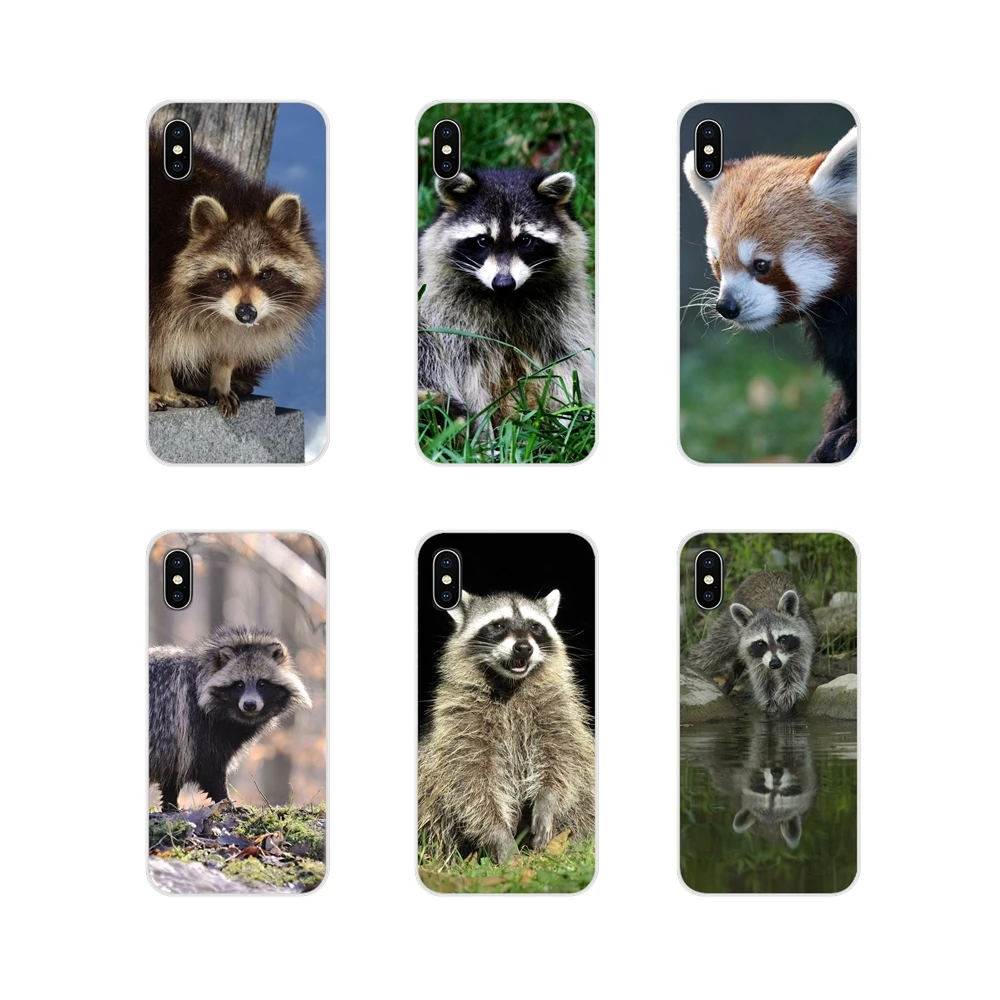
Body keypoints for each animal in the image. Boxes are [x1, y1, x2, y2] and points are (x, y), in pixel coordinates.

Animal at [149, 135, 323, 417]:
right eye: (223, 274)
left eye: (265, 274)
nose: (246, 313)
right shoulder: (157, 282)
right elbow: (157, 346)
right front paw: (165, 384)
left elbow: (232, 341)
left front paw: (222, 374)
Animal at [149, 624, 312, 810]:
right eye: (239, 685)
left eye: (261, 683)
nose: (250, 705)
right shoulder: (193, 727)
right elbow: (210, 769)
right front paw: (225, 800)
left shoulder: (178, 745)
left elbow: (173, 776)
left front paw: (170, 804)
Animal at [418, 169, 595, 424]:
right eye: (483, 240)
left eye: (525, 240)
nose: (503, 283)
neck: (507, 297)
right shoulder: (447, 309)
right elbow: (466, 371)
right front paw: (482, 430)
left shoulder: (566, 306)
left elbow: (569, 360)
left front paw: (566, 416)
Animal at [418, 590, 595, 863]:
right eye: (498, 625)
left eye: (535, 626)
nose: (523, 647)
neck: (509, 684)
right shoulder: (459, 720)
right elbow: (469, 782)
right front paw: (497, 833)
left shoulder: (558, 708)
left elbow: (563, 759)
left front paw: (547, 801)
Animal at [686, 571, 819, 716]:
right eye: (761, 643)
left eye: (783, 639)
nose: (775, 663)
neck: (767, 607)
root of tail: (763, 572)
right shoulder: (755, 658)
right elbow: (763, 681)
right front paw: (770, 704)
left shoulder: (803, 642)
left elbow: (795, 673)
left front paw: (787, 696)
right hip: (729, 625)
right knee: (710, 651)